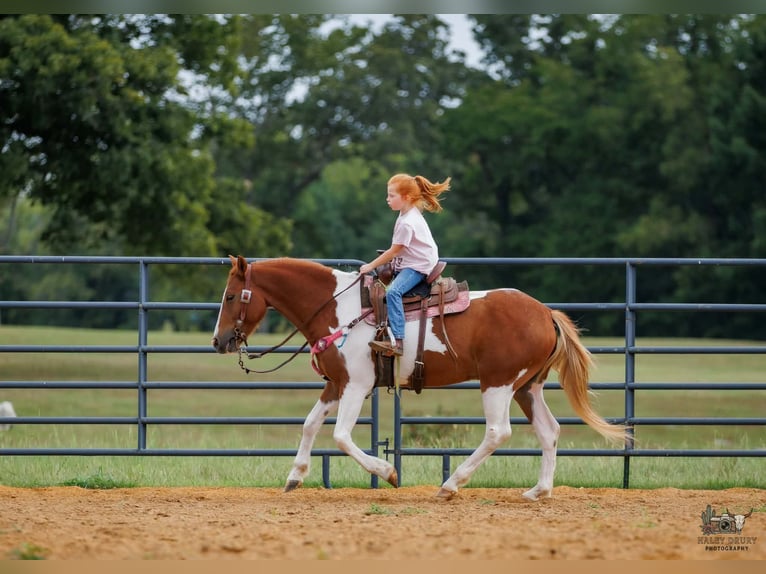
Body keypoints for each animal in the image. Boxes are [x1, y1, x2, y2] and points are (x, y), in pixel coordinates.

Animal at [212, 255, 628, 499]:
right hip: (528, 387)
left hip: (498, 383)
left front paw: (389, 472)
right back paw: (539, 490)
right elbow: (311, 424)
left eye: (231, 296)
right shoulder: (337, 383)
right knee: (549, 430)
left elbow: (341, 436)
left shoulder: (357, 386)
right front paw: (295, 476)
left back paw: (450, 485)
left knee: (498, 432)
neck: (337, 307)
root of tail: (545, 313)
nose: (218, 341)